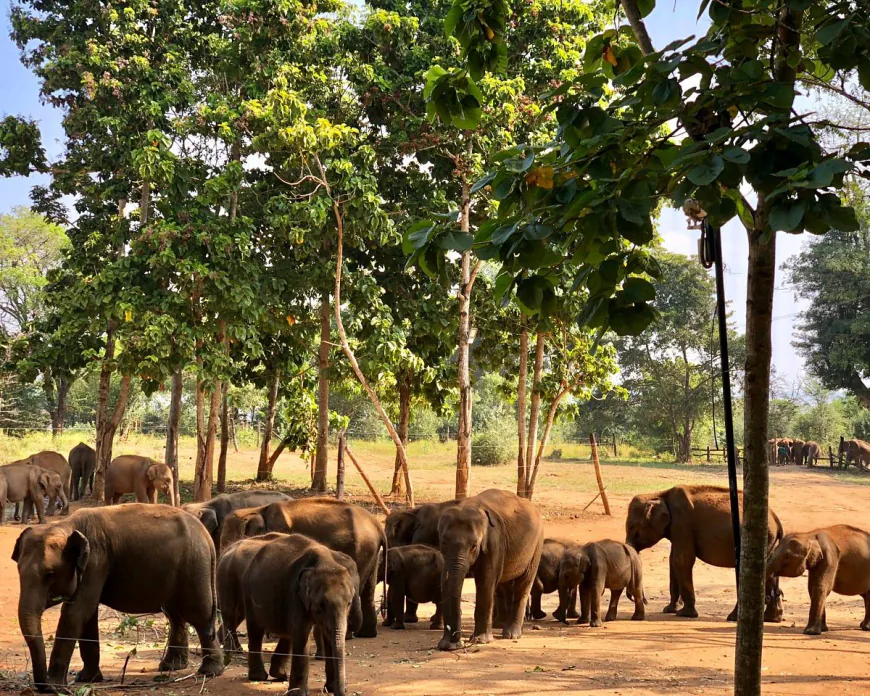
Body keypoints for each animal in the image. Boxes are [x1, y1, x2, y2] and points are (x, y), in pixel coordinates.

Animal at [14, 500, 225, 692]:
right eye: (18, 571)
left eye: (49, 574)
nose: (43, 685)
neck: (67, 525)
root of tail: (207, 537)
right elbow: (87, 616)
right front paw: (87, 679)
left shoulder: (96, 561)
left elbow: (76, 612)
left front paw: (57, 687)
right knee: (174, 615)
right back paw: (171, 667)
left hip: (195, 566)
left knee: (198, 615)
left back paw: (210, 672)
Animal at [220, 532, 360, 692]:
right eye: (321, 604)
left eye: (348, 603)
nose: (343, 690)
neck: (326, 561)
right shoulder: (296, 595)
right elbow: (302, 633)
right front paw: (297, 693)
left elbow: (327, 636)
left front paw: (330, 689)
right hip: (247, 591)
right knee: (254, 628)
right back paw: (258, 676)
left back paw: (280, 675)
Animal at [221, 498, 388, 640]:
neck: (257, 510)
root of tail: (378, 527)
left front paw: (275, 635)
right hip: (370, 551)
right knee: (368, 588)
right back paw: (366, 634)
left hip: (361, 549)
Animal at [436, 486, 544, 648]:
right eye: (443, 543)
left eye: (474, 546)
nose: (456, 641)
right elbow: (446, 581)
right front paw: (445, 645)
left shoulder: (494, 541)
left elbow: (485, 581)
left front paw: (480, 641)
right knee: (505, 584)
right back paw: (502, 626)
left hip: (536, 545)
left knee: (523, 584)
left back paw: (511, 635)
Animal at [624, 484, 788, 620]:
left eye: (632, 528)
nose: (646, 601)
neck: (659, 494)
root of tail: (776, 519)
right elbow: (673, 562)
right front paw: (669, 610)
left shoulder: (682, 523)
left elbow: (681, 561)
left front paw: (685, 614)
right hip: (770, 543)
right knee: (771, 573)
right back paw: (772, 618)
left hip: (762, 539)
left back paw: (734, 617)